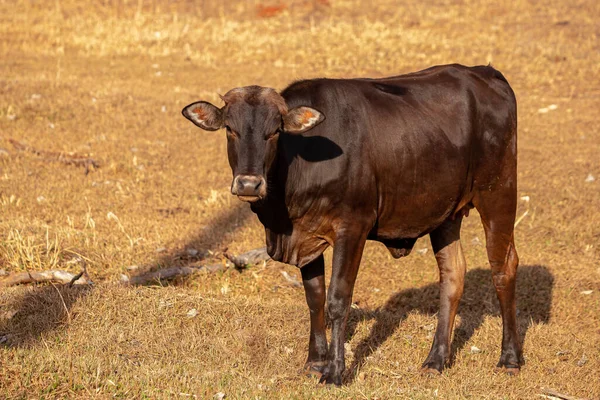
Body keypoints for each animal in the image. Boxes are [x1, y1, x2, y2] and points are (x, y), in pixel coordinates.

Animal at [182, 64, 520, 386]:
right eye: (230, 129)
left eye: (275, 131)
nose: (249, 184)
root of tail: (486, 73)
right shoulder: (306, 234)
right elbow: (315, 297)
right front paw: (315, 362)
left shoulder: (353, 229)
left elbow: (338, 299)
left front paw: (334, 371)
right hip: (446, 215)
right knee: (452, 275)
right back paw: (435, 360)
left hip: (499, 195)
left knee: (503, 268)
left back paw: (509, 358)